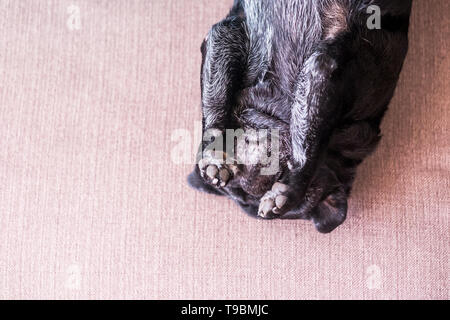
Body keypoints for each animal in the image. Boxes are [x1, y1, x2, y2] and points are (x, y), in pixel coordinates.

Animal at [186, 0, 412, 232]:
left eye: (280, 175)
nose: (251, 171)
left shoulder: (321, 71)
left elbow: (307, 149)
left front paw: (287, 193)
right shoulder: (226, 36)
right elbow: (215, 100)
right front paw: (214, 158)